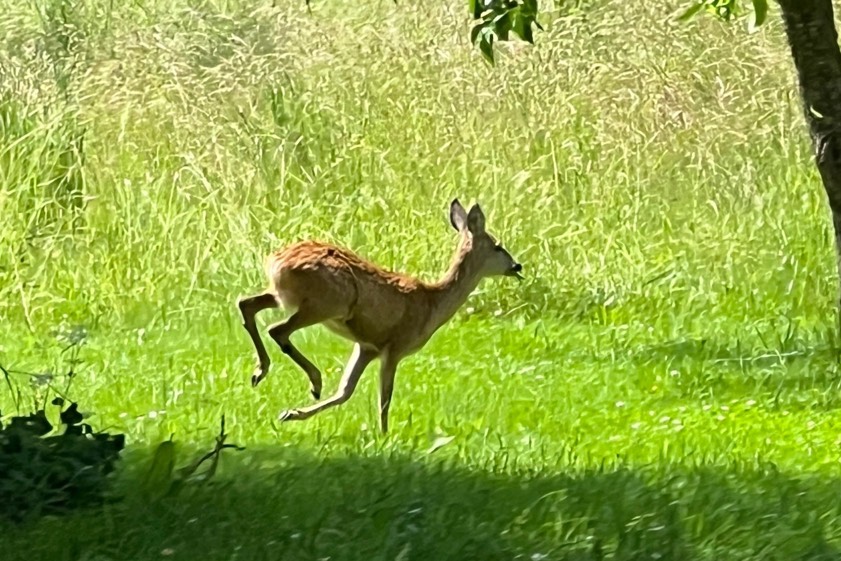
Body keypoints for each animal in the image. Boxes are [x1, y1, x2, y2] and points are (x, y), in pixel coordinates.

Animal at [236, 199, 523, 433]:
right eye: (498, 246)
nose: (517, 266)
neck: (433, 304)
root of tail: (276, 262)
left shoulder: (367, 346)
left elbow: (345, 391)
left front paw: (291, 413)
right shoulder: (395, 346)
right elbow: (384, 397)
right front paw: (385, 436)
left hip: (284, 296)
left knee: (246, 304)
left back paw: (260, 372)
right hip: (326, 303)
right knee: (277, 328)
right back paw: (314, 380)